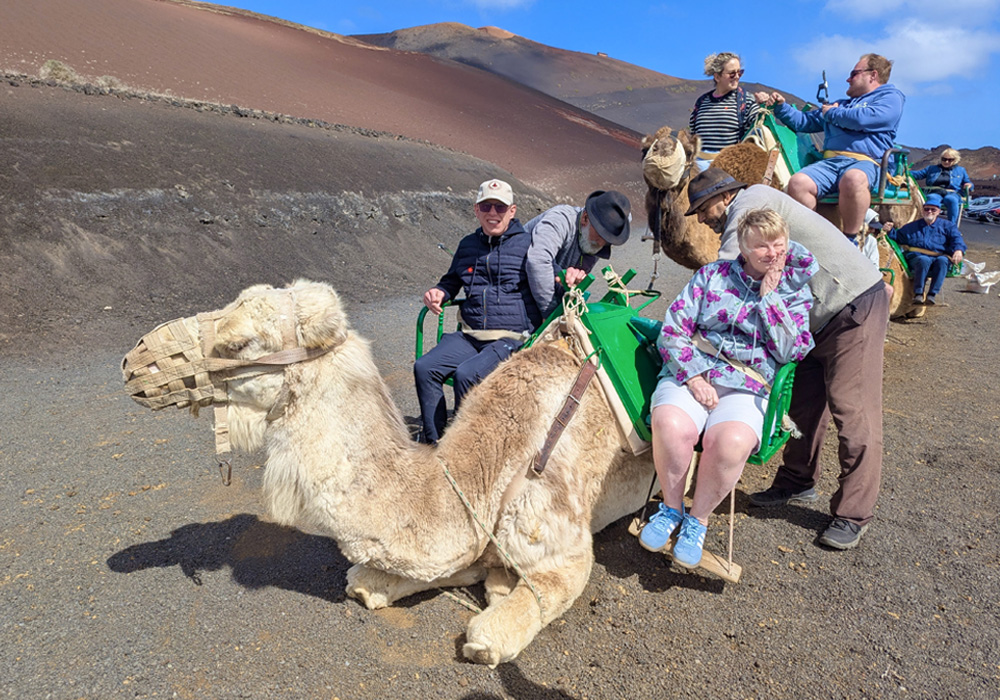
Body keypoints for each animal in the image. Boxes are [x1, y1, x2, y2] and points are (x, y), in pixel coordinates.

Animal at [122, 279, 655, 667]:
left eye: (240, 342)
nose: (133, 362)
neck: (485, 473)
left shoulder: (562, 541)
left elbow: (516, 611)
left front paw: (494, 615)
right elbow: (371, 577)